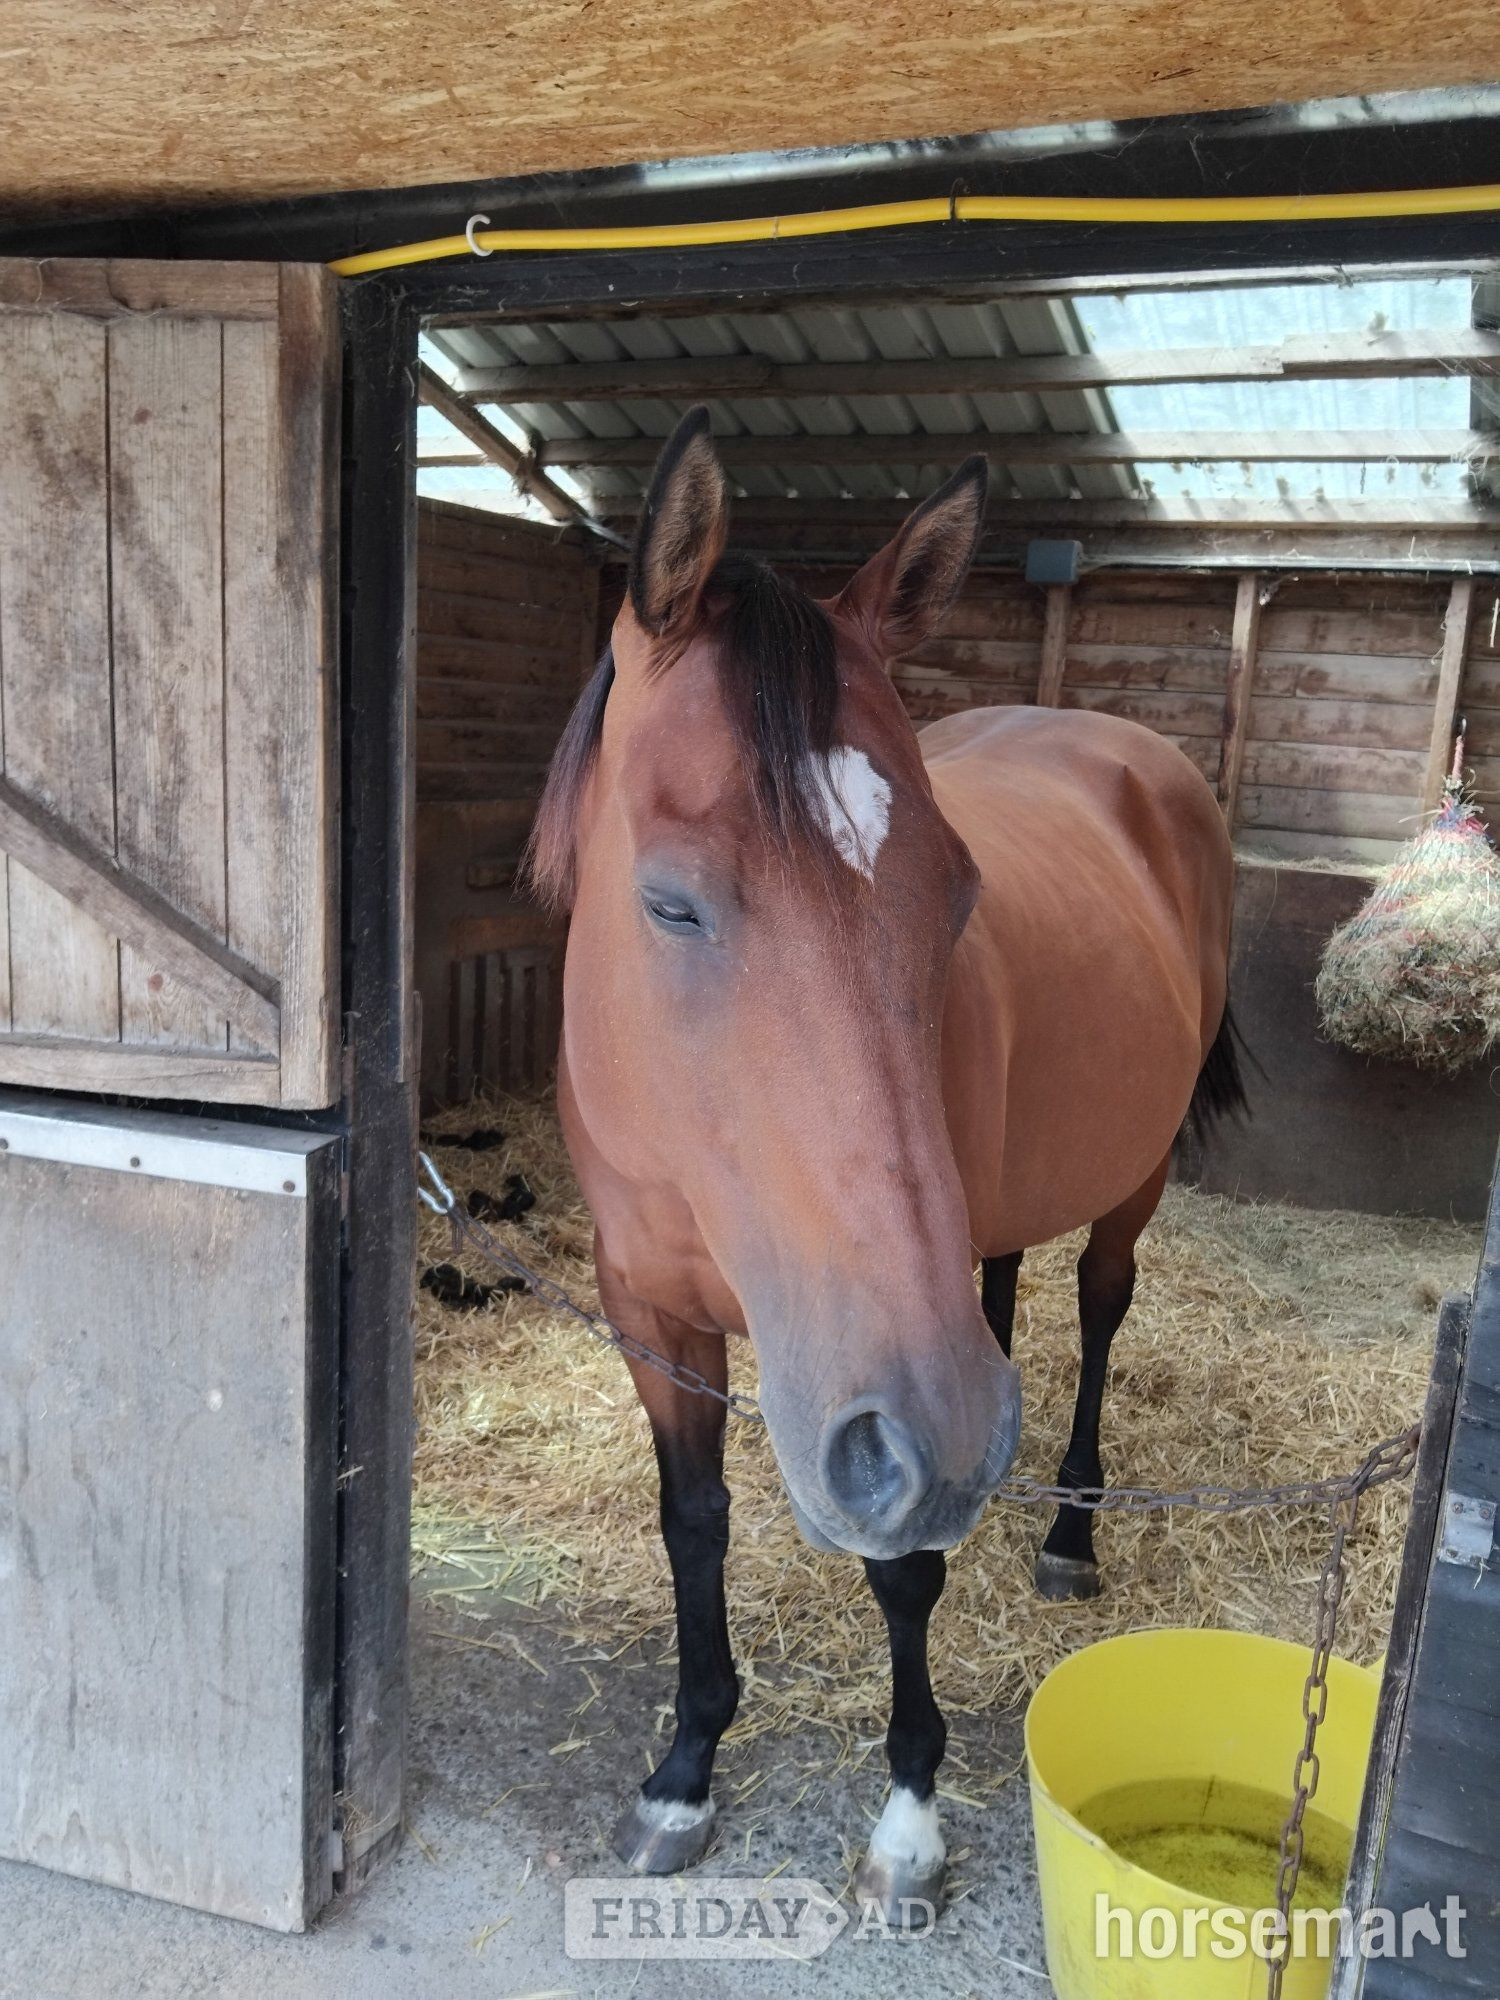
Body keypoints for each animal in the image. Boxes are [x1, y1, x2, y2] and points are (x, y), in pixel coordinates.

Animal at [526, 407, 1244, 1921]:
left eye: (954, 893)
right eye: (671, 903)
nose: (958, 1434)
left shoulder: (894, 1372)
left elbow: (905, 1566)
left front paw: (912, 1806)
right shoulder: (648, 1308)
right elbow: (692, 1523)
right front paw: (684, 1767)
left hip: (1131, 1183)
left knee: (1096, 1310)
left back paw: (1067, 1527)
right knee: (1005, 1297)